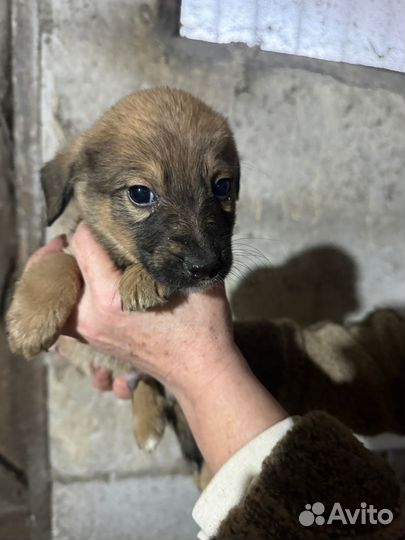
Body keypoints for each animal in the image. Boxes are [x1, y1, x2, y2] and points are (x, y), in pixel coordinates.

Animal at [5, 87, 237, 460]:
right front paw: (30, 323)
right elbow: (55, 265)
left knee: (148, 379)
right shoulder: (68, 244)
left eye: (222, 186)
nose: (207, 268)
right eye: (140, 194)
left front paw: (143, 280)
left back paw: (148, 425)